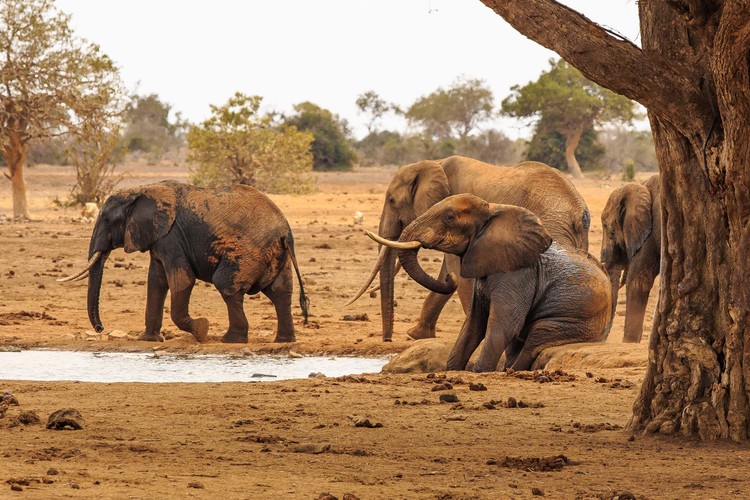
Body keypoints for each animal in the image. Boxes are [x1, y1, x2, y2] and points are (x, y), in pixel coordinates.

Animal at [57, 181, 312, 344]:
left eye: (106, 218)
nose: (101, 328)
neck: (141, 189)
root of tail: (286, 232)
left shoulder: (171, 237)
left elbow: (182, 279)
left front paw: (202, 330)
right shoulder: (159, 238)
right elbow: (156, 281)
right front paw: (148, 339)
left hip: (248, 252)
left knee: (226, 285)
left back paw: (231, 340)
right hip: (275, 255)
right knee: (281, 292)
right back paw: (284, 341)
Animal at [352, 156, 592, 342]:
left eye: (392, 201)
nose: (387, 339)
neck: (433, 163)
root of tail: (577, 211)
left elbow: (459, 273)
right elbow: (449, 272)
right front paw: (417, 335)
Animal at [370, 194, 612, 372]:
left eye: (449, 217)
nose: (450, 277)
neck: (492, 209)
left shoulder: (518, 275)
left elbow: (502, 325)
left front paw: (479, 372)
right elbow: (473, 324)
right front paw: (453, 370)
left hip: (580, 322)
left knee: (537, 335)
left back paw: (511, 370)